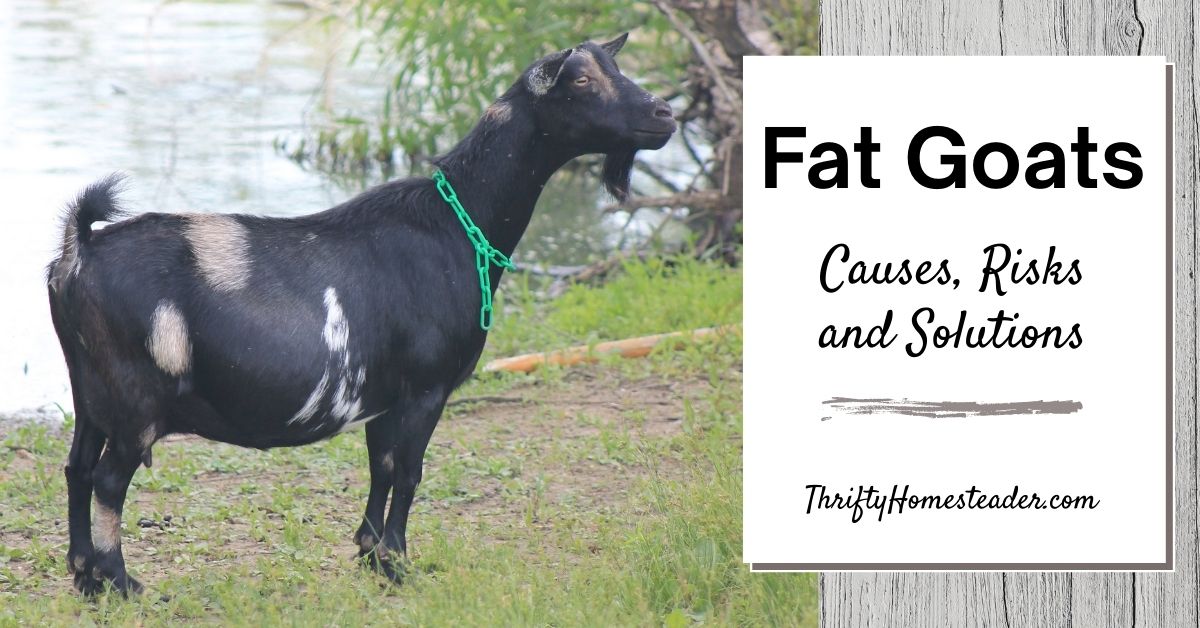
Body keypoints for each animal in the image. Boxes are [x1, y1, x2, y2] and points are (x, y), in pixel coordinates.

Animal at [46, 33, 675, 595]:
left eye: (614, 67)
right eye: (582, 81)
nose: (665, 114)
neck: (456, 223)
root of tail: (81, 250)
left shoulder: (385, 395)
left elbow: (382, 466)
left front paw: (371, 554)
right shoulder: (426, 387)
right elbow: (408, 470)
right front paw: (396, 565)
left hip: (89, 389)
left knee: (78, 467)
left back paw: (84, 576)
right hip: (134, 400)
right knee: (108, 480)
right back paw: (122, 581)